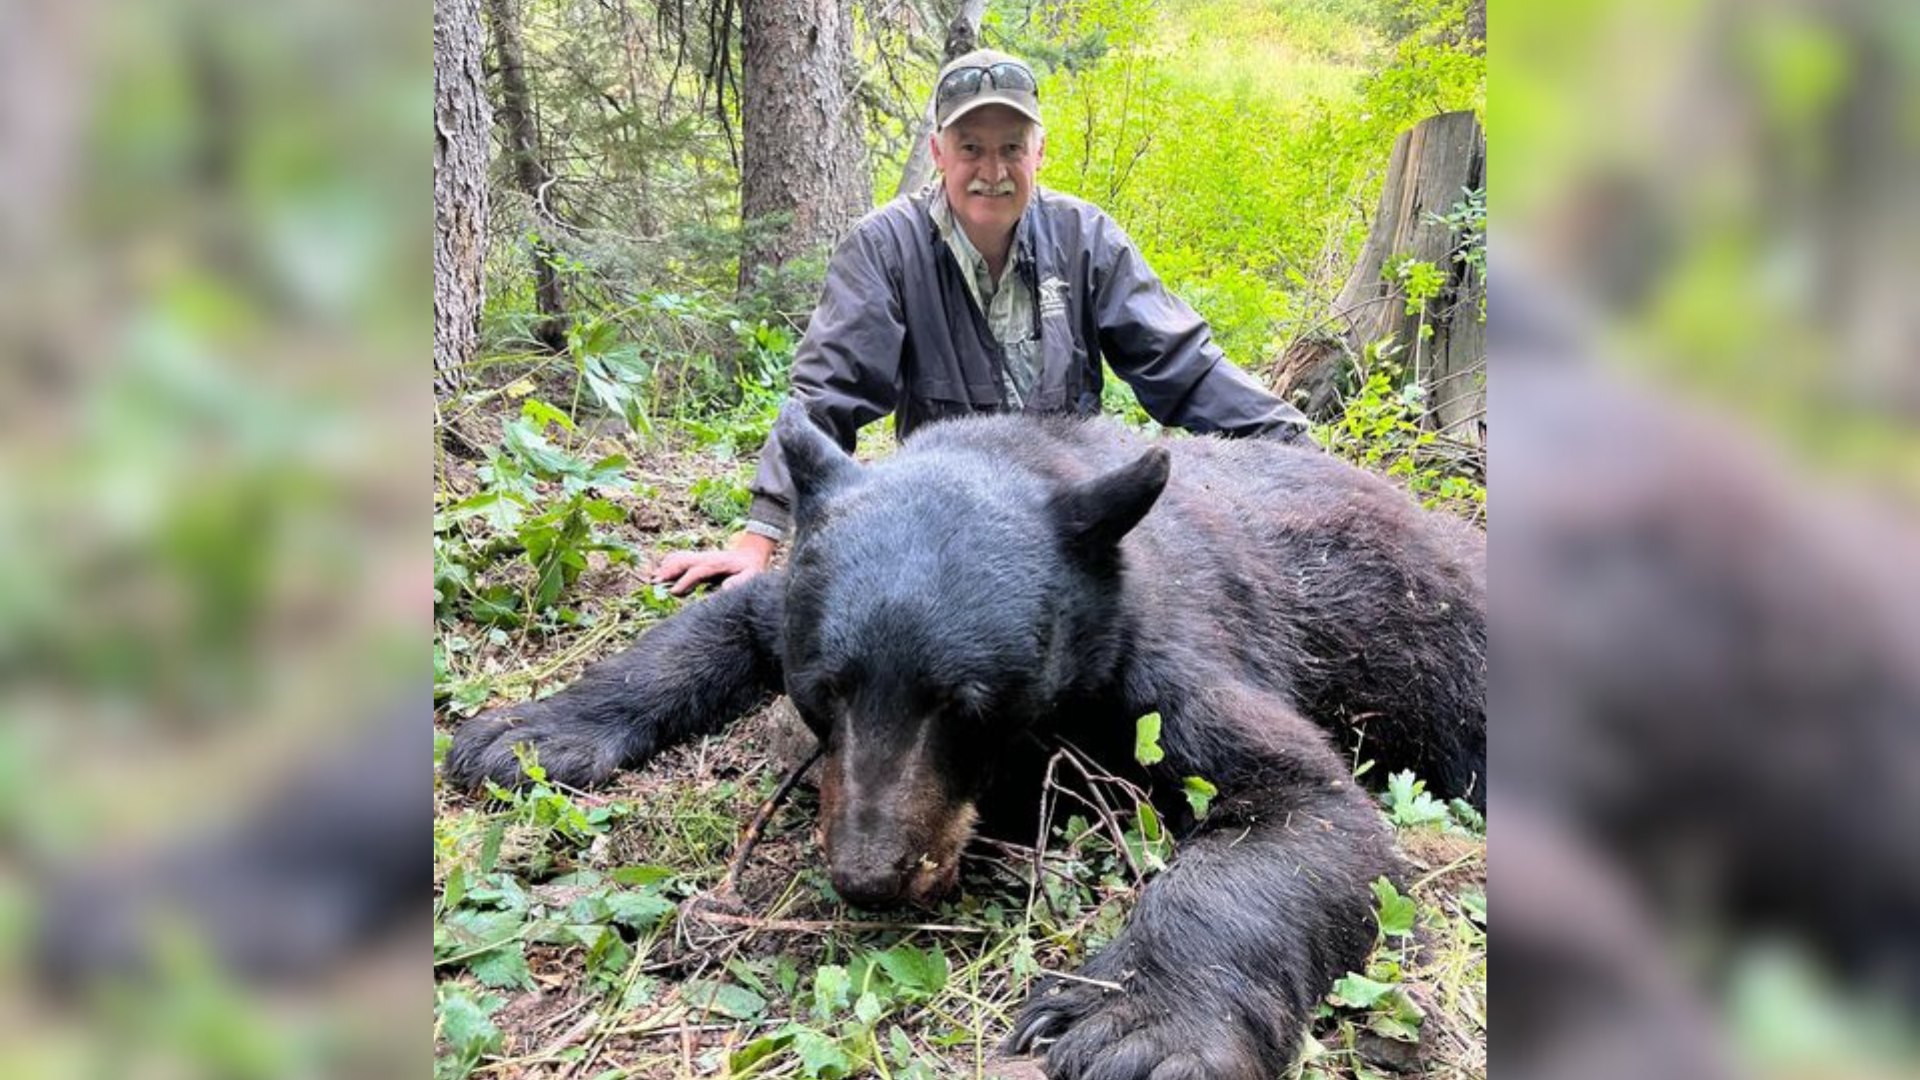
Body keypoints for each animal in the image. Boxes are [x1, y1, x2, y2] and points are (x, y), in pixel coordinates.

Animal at [445, 405, 1482, 1076]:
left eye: (968, 705)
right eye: (825, 693)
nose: (869, 874)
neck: (1021, 454)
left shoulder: (1156, 660)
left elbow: (1306, 809)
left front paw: (1134, 1026)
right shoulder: (794, 603)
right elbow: (708, 629)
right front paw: (528, 732)